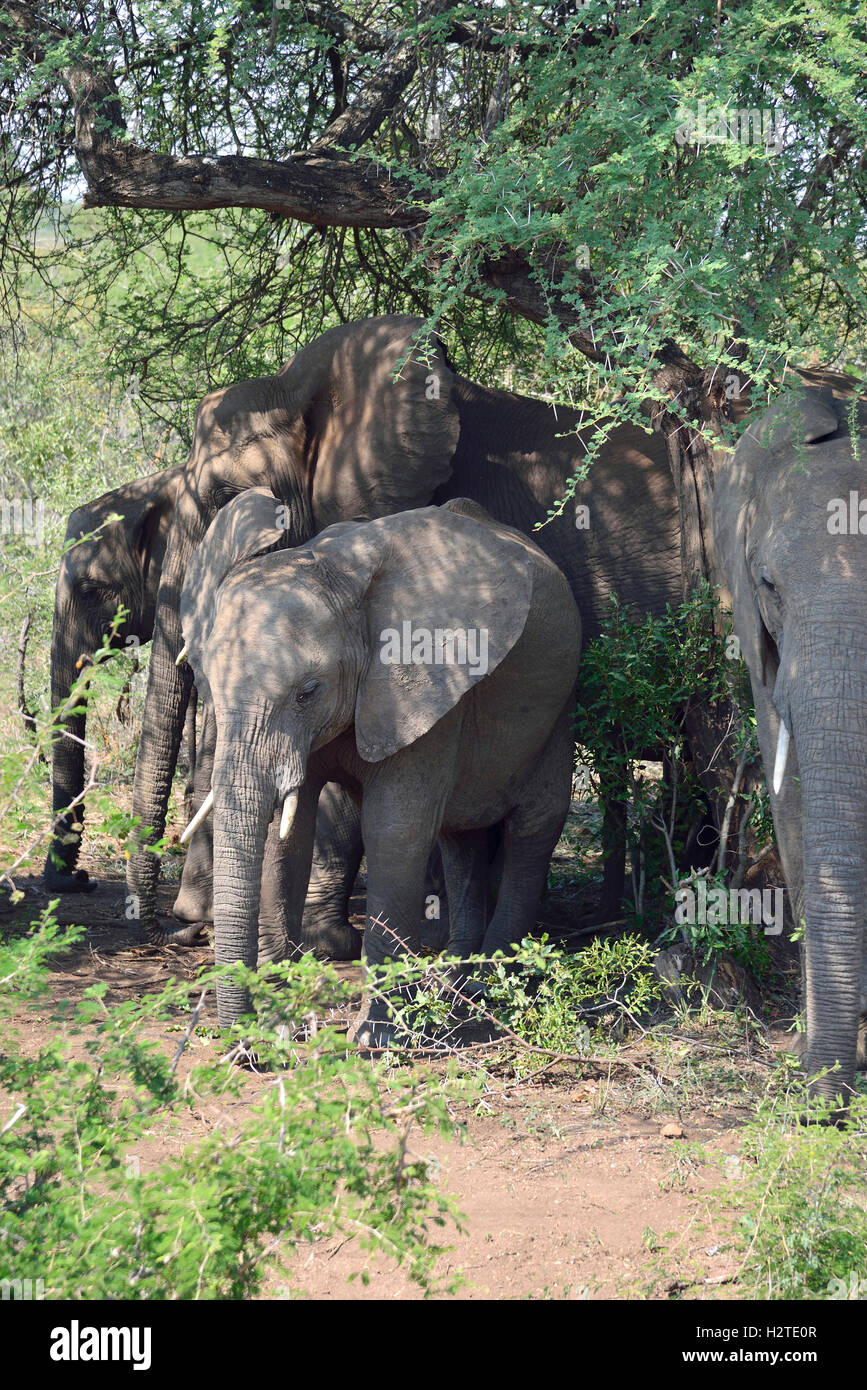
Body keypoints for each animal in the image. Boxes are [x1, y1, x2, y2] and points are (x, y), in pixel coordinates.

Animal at [179, 486, 578, 1034]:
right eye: (210, 684)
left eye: (308, 692)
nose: (247, 1028)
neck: (334, 572)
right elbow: (290, 829)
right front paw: (281, 1020)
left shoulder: (428, 684)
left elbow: (395, 831)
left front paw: (374, 1037)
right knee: (461, 838)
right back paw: (455, 977)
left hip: (558, 710)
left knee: (531, 830)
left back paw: (489, 984)